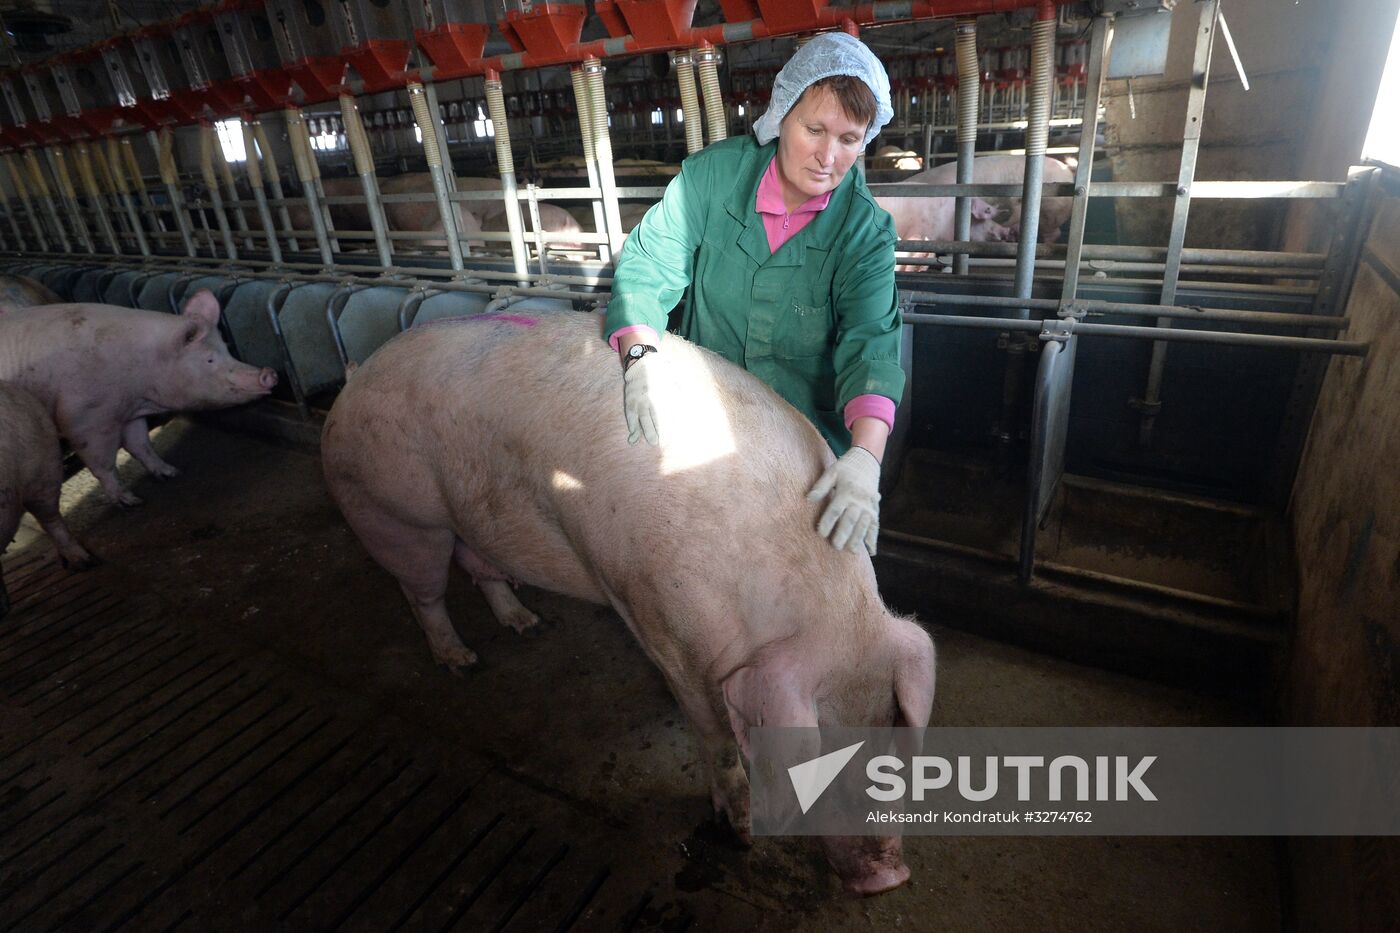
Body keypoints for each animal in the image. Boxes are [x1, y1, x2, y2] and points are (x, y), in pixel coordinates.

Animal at [0, 290, 277, 507]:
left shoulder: (129, 412)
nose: (269, 374)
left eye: (227, 348)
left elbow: (141, 445)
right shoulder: (82, 419)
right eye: (210, 359)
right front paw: (131, 501)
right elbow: (103, 463)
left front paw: (171, 473)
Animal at [321, 312, 936, 895]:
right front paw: (740, 832)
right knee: (422, 592)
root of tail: (355, 379)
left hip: (466, 519)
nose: (889, 877)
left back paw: (528, 624)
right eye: (819, 754)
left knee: (481, 567)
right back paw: (462, 662)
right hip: (391, 511)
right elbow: (711, 732)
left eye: (889, 735)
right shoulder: (664, 625)